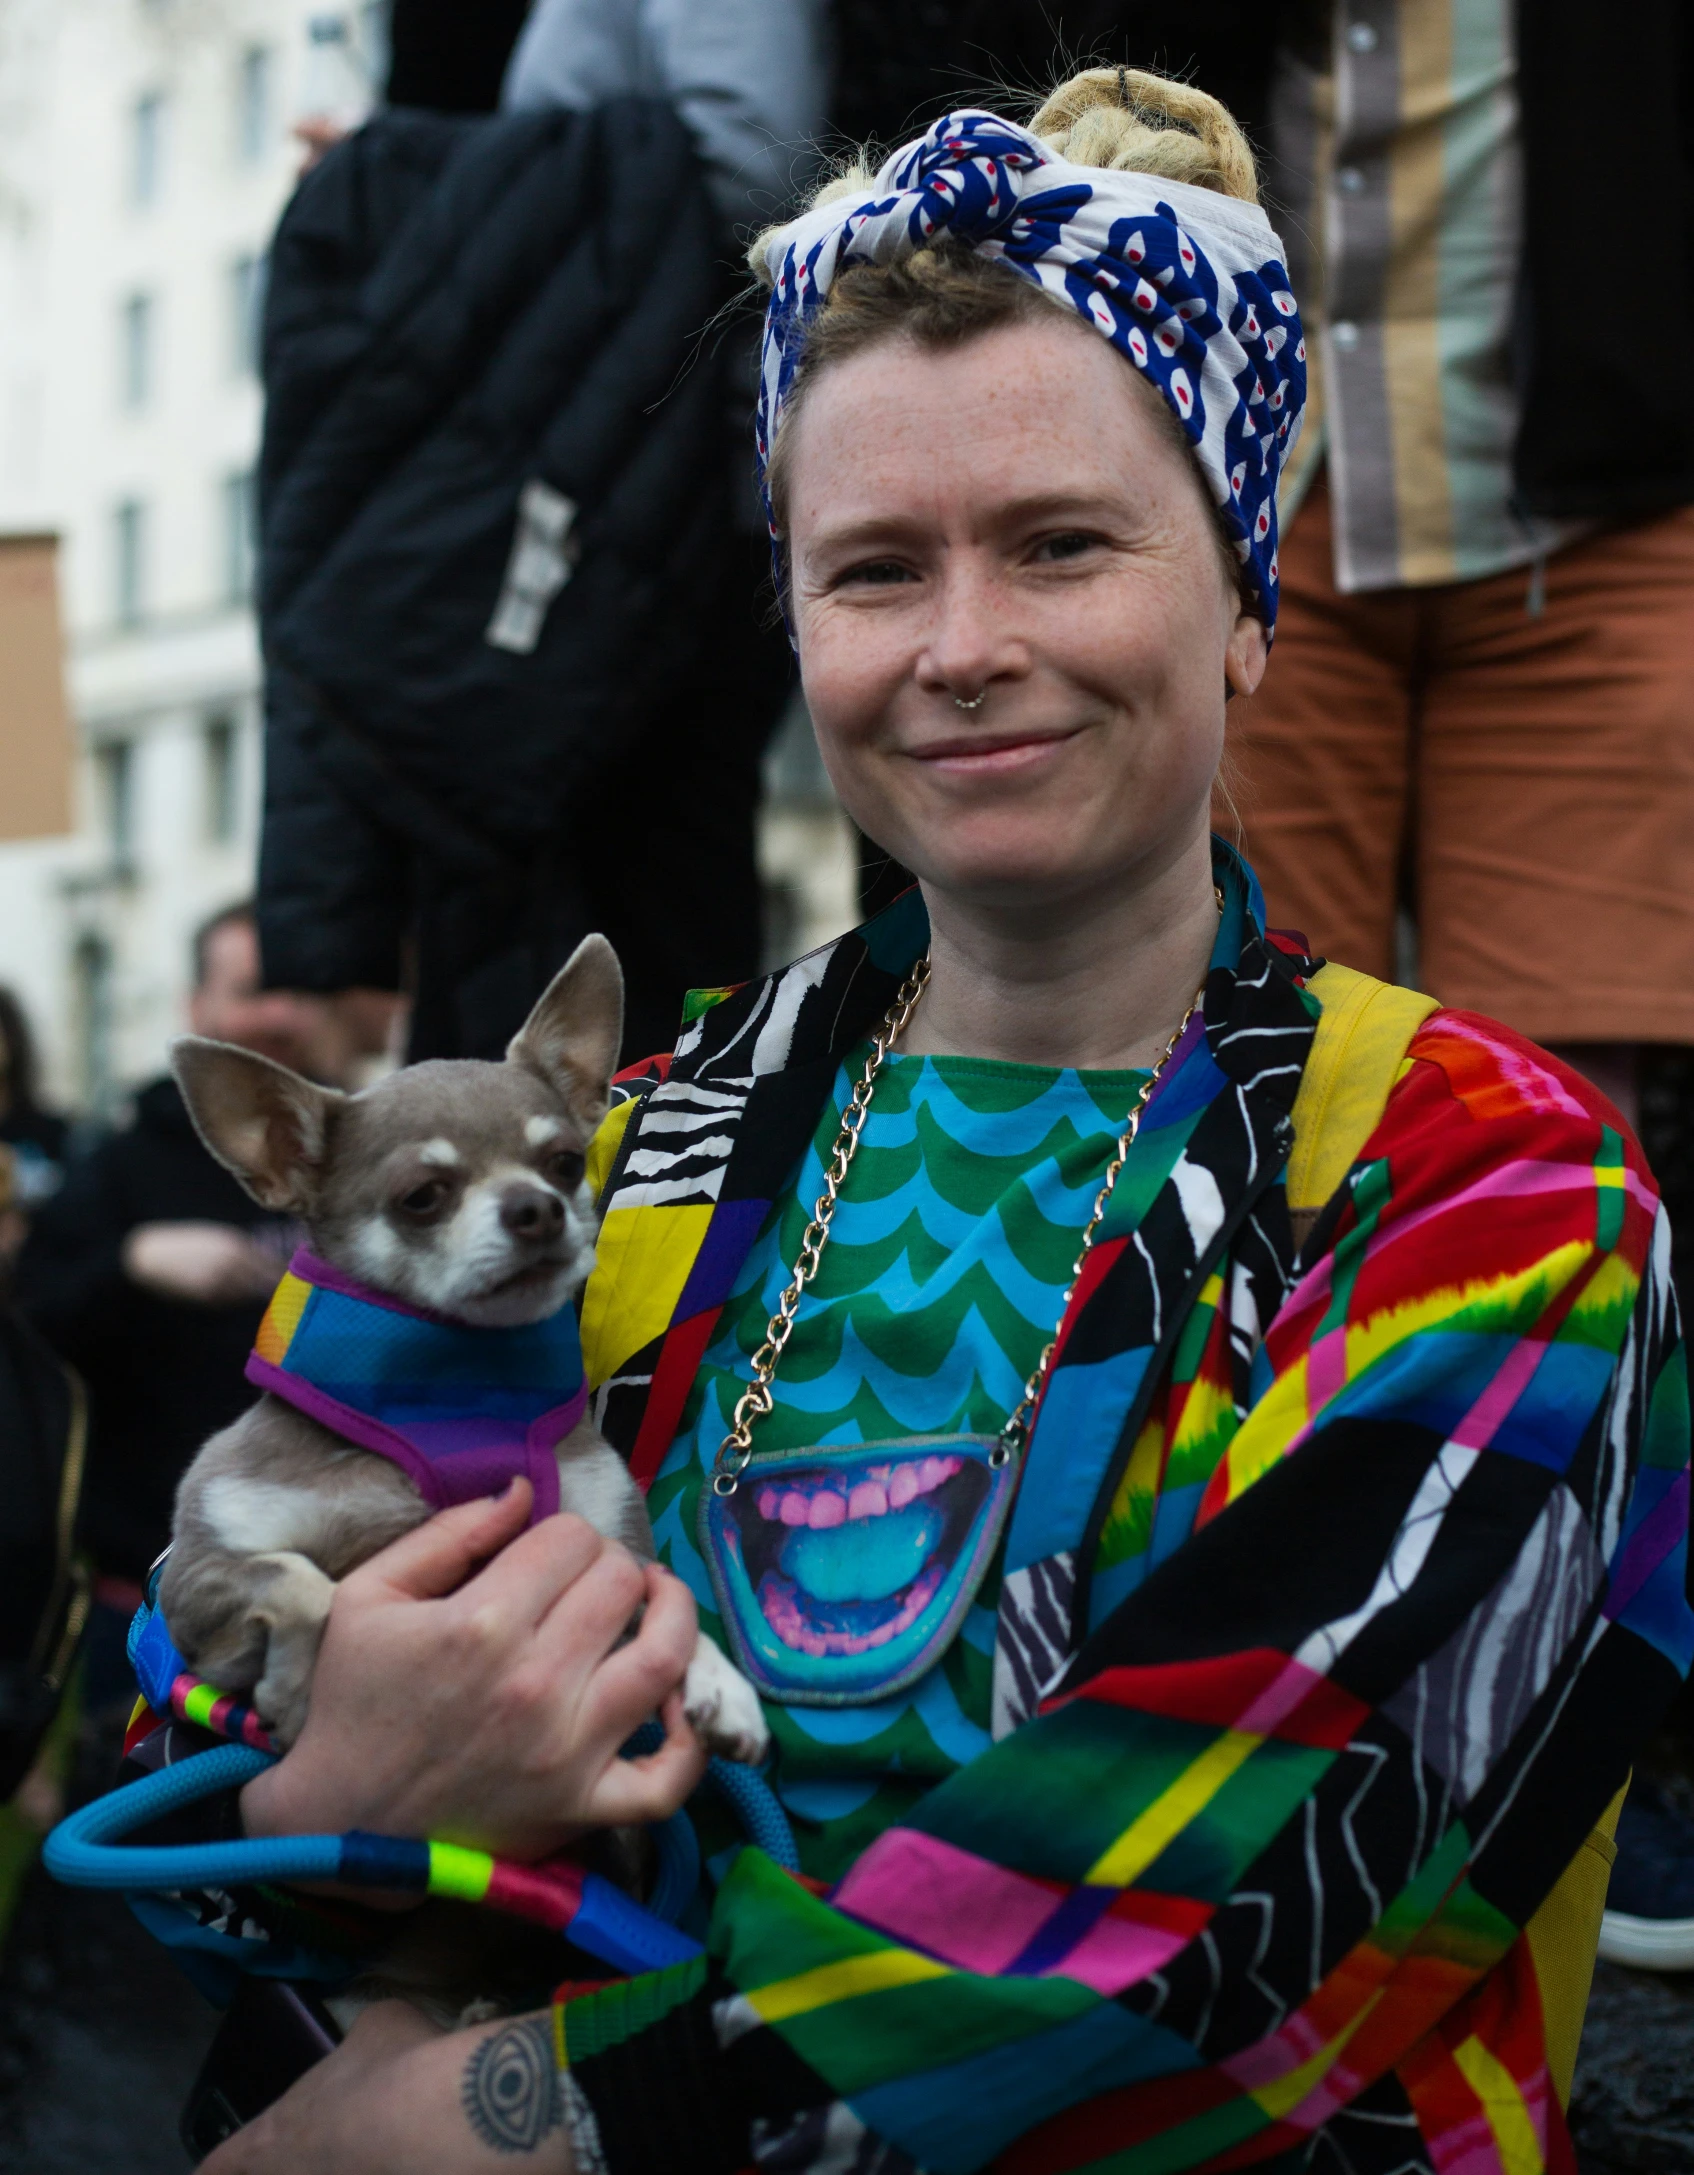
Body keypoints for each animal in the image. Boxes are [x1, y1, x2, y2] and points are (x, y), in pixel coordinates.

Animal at [158, 935, 769, 1766]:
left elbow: (661, 1593)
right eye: (422, 1196)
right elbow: (302, 1579)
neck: (458, 1391)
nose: (538, 1208)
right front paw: (301, 1686)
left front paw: (721, 1685)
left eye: (566, 1164)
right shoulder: (191, 1591)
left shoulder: (608, 1550)